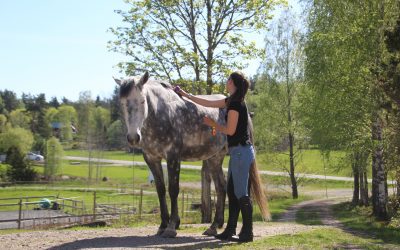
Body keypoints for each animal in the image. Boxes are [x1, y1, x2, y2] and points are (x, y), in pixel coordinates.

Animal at [114, 71, 230, 237]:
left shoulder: (173, 157)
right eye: (122, 103)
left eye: (142, 101)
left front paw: (172, 226)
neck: (160, 115)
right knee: (221, 186)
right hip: (214, 158)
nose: (133, 137)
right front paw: (163, 225)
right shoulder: (151, 159)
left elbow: (173, 190)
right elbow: (161, 190)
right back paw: (216, 224)